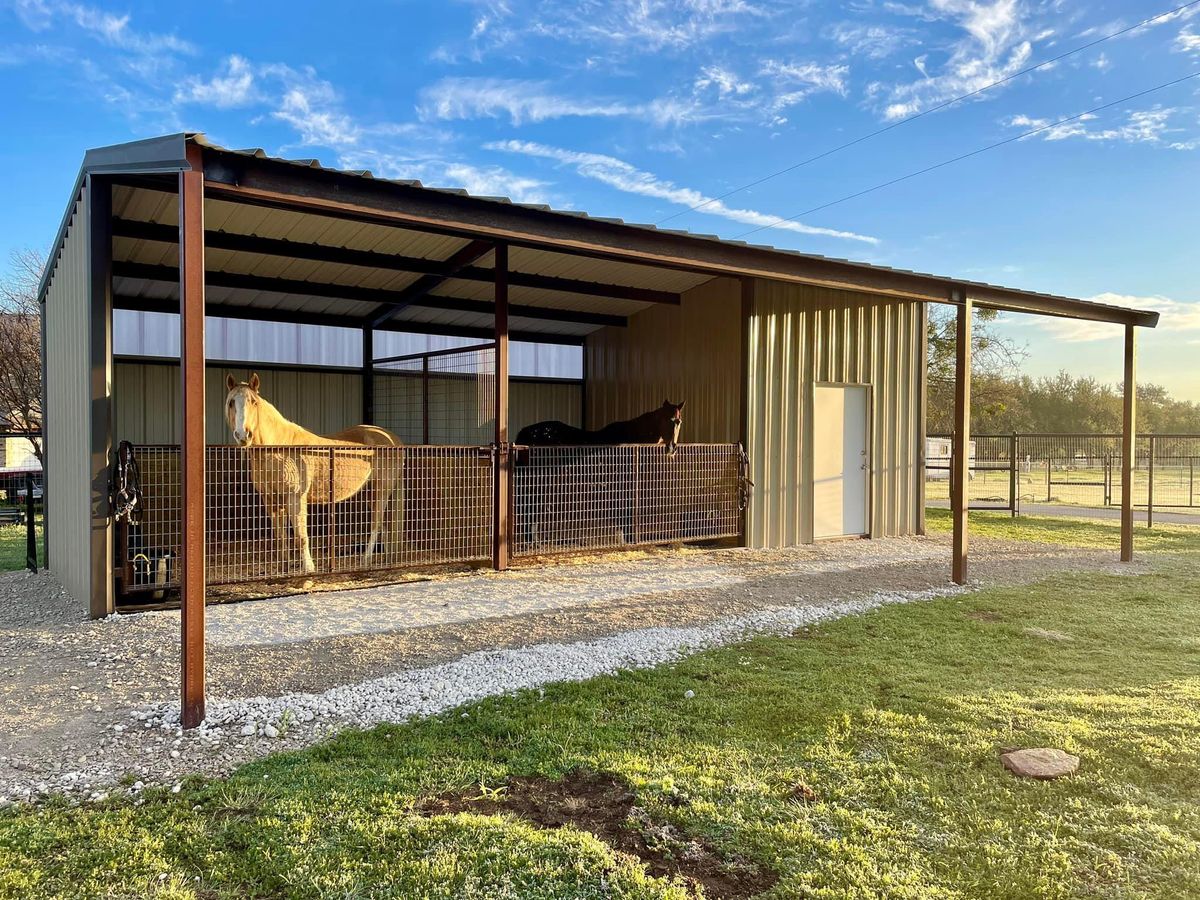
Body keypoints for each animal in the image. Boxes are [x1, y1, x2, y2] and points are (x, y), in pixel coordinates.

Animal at [226, 374, 405, 573]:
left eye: (254, 402)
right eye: (231, 402)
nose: (243, 435)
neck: (279, 448)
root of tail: (392, 439)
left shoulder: (296, 498)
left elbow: (300, 535)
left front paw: (309, 568)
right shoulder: (270, 500)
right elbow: (281, 536)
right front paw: (284, 567)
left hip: (381, 490)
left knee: (376, 522)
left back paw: (365, 560)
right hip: (369, 492)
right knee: (385, 524)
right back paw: (387, 558)